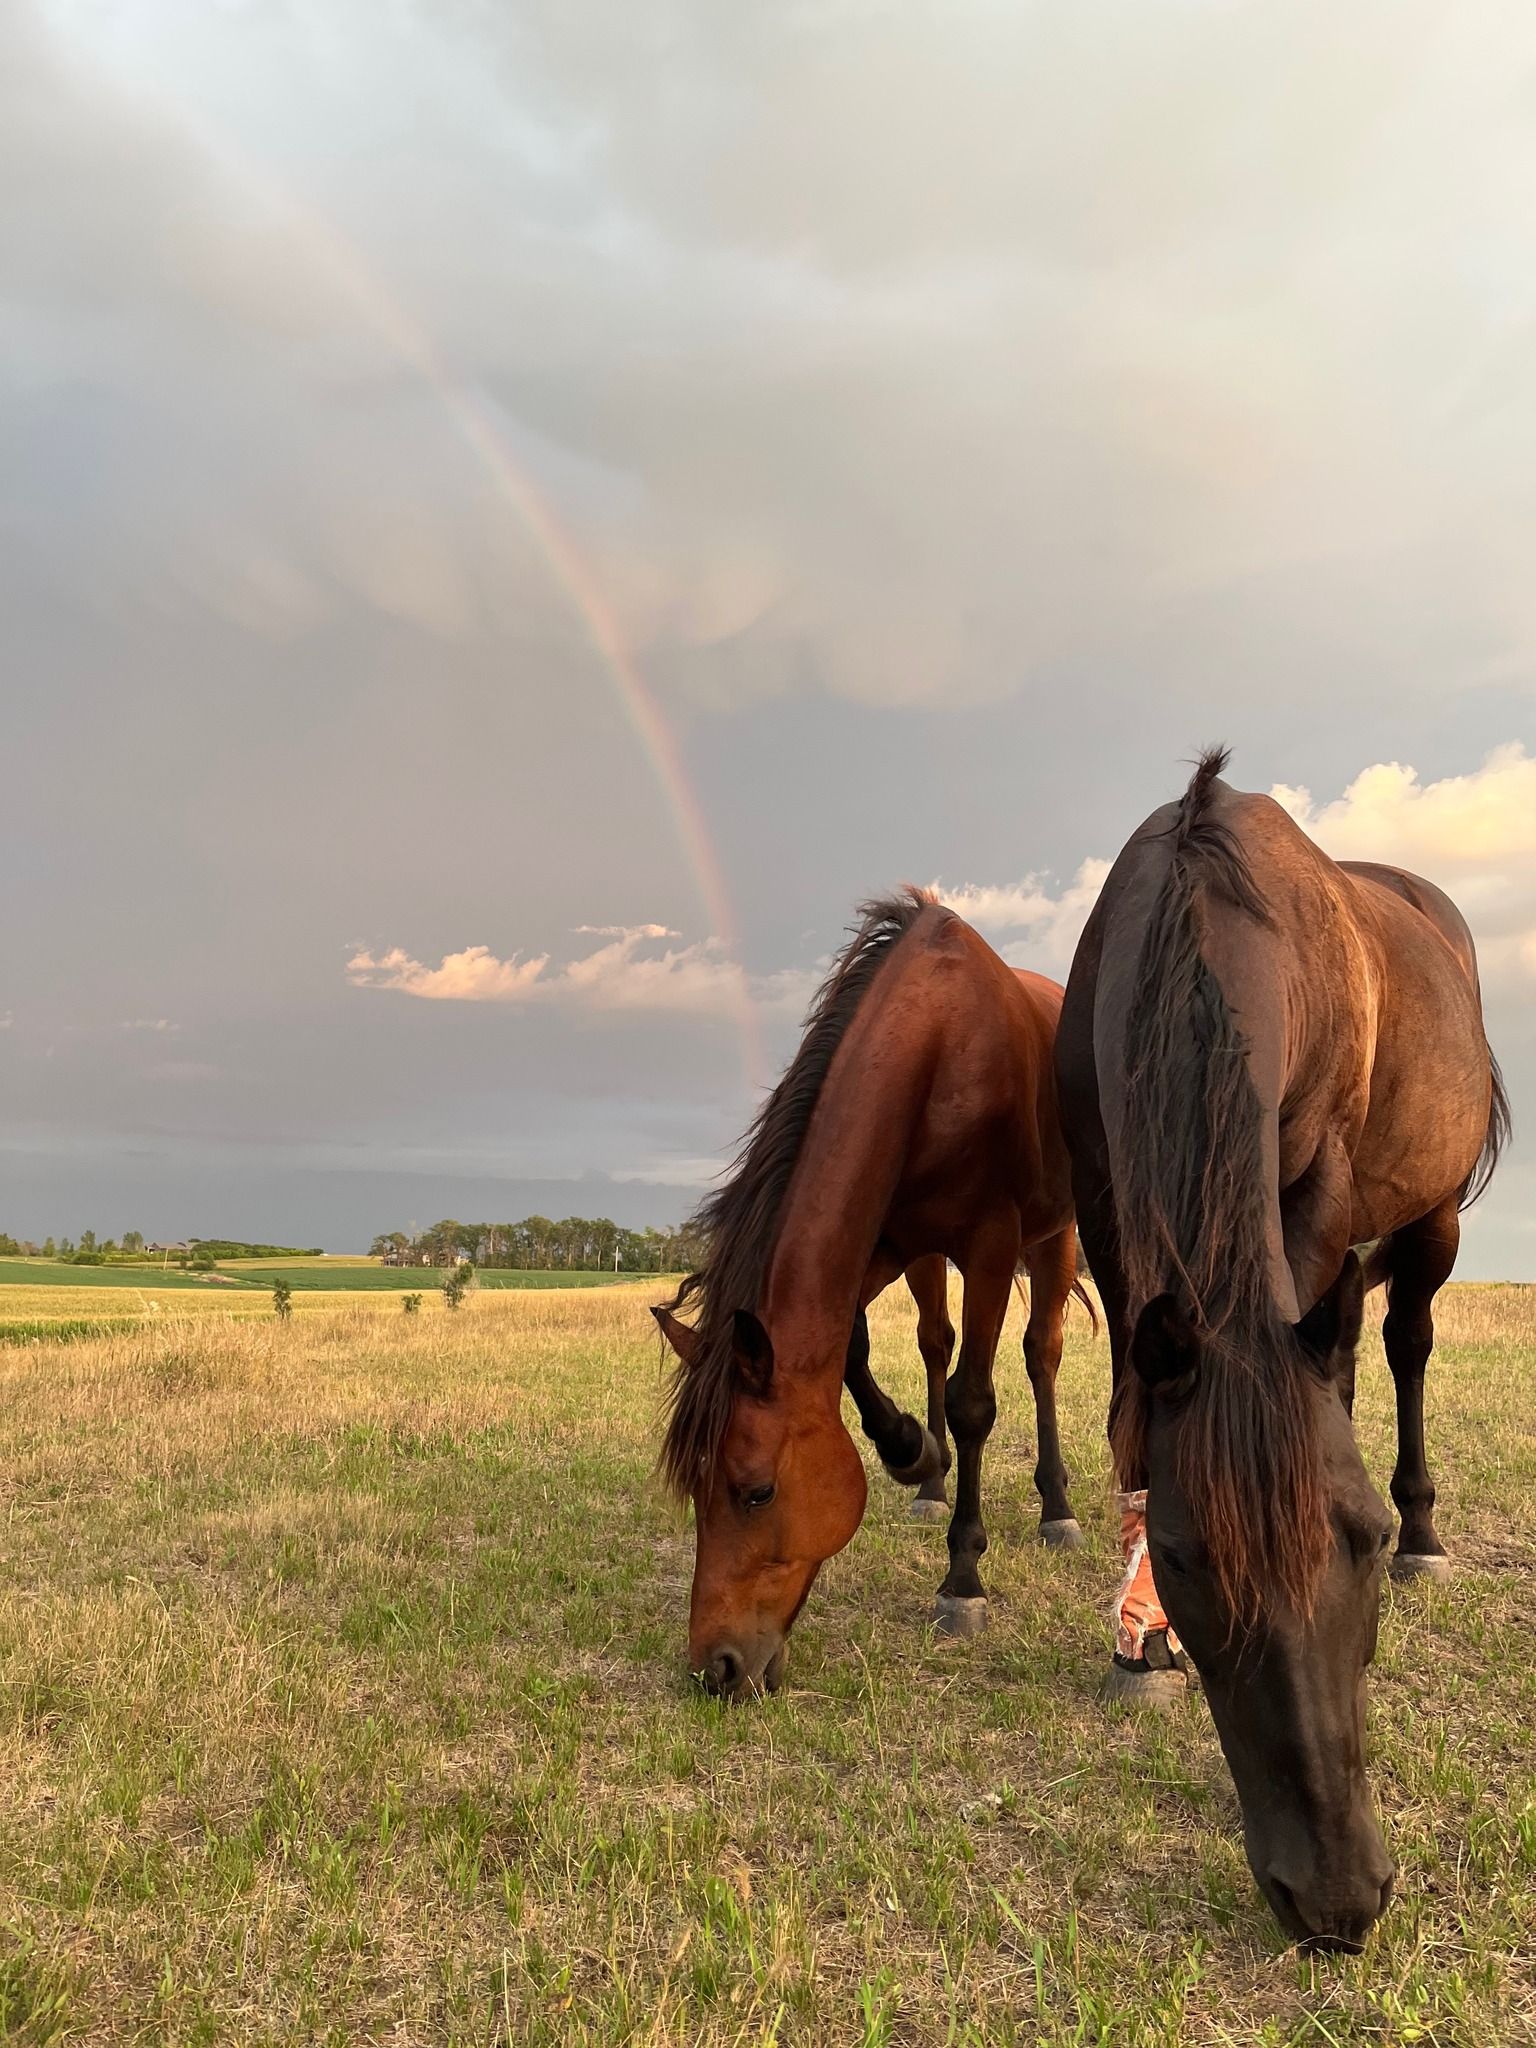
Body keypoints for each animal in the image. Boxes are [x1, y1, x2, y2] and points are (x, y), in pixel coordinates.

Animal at [653, 889, 1085, 1699]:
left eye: (755, 1492)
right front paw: (912, 1452)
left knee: (1041, 1353)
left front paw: (962, 1578)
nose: (716, 1669)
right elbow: (850, 1349)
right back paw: (932, 1486)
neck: (940, 1039)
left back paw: (1057, 1508)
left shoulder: (992, 1244)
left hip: (1056, 1234)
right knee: (935, 1343)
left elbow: (975, 1402)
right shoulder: (883, 1242)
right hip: (927, 1258)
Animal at [1055, 749, 1508, 1953]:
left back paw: (1433, 1531)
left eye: (1362, 1535)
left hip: (1428, 1214)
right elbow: (1132, 1408)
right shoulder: (1106, 1202)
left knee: (1404, 1341)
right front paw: (1140, 1640)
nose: (1339, 1900)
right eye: (1186, 1556)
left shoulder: (1320, 1186)